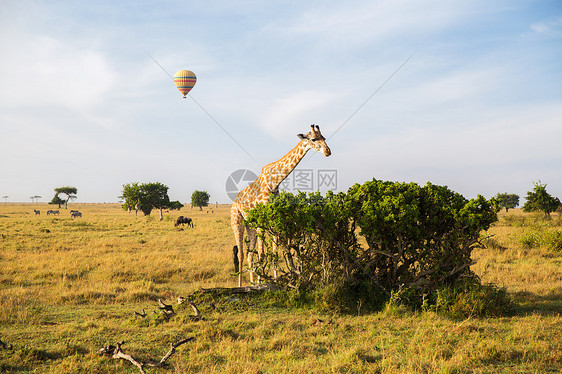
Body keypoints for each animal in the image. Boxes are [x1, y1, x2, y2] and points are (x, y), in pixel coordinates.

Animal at [230, 125, 330, 286]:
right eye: (314, 139)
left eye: (324, 138)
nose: (328, 151)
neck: (275, 181)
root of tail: (233, 203)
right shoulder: (263, 221)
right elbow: (262, 254)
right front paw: (262, 283)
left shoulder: (274, 220)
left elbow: (275, 253)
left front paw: (275, 281)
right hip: (237, 222)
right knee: (241, 254)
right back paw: (241, 285)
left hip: (250, 225)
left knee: (250, 255)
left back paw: (251, 283)